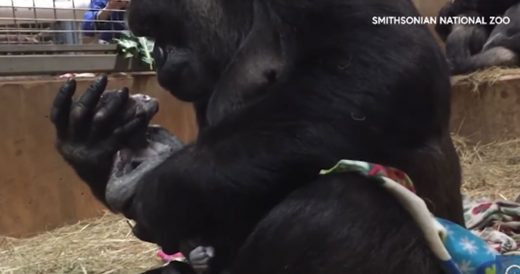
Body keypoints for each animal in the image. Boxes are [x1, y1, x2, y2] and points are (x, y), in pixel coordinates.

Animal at [50, 0, 464, 274]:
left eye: (157, 29)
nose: (161, 57)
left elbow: (381, 62)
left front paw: (161, 192)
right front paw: (93, 145)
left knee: (340, 209)